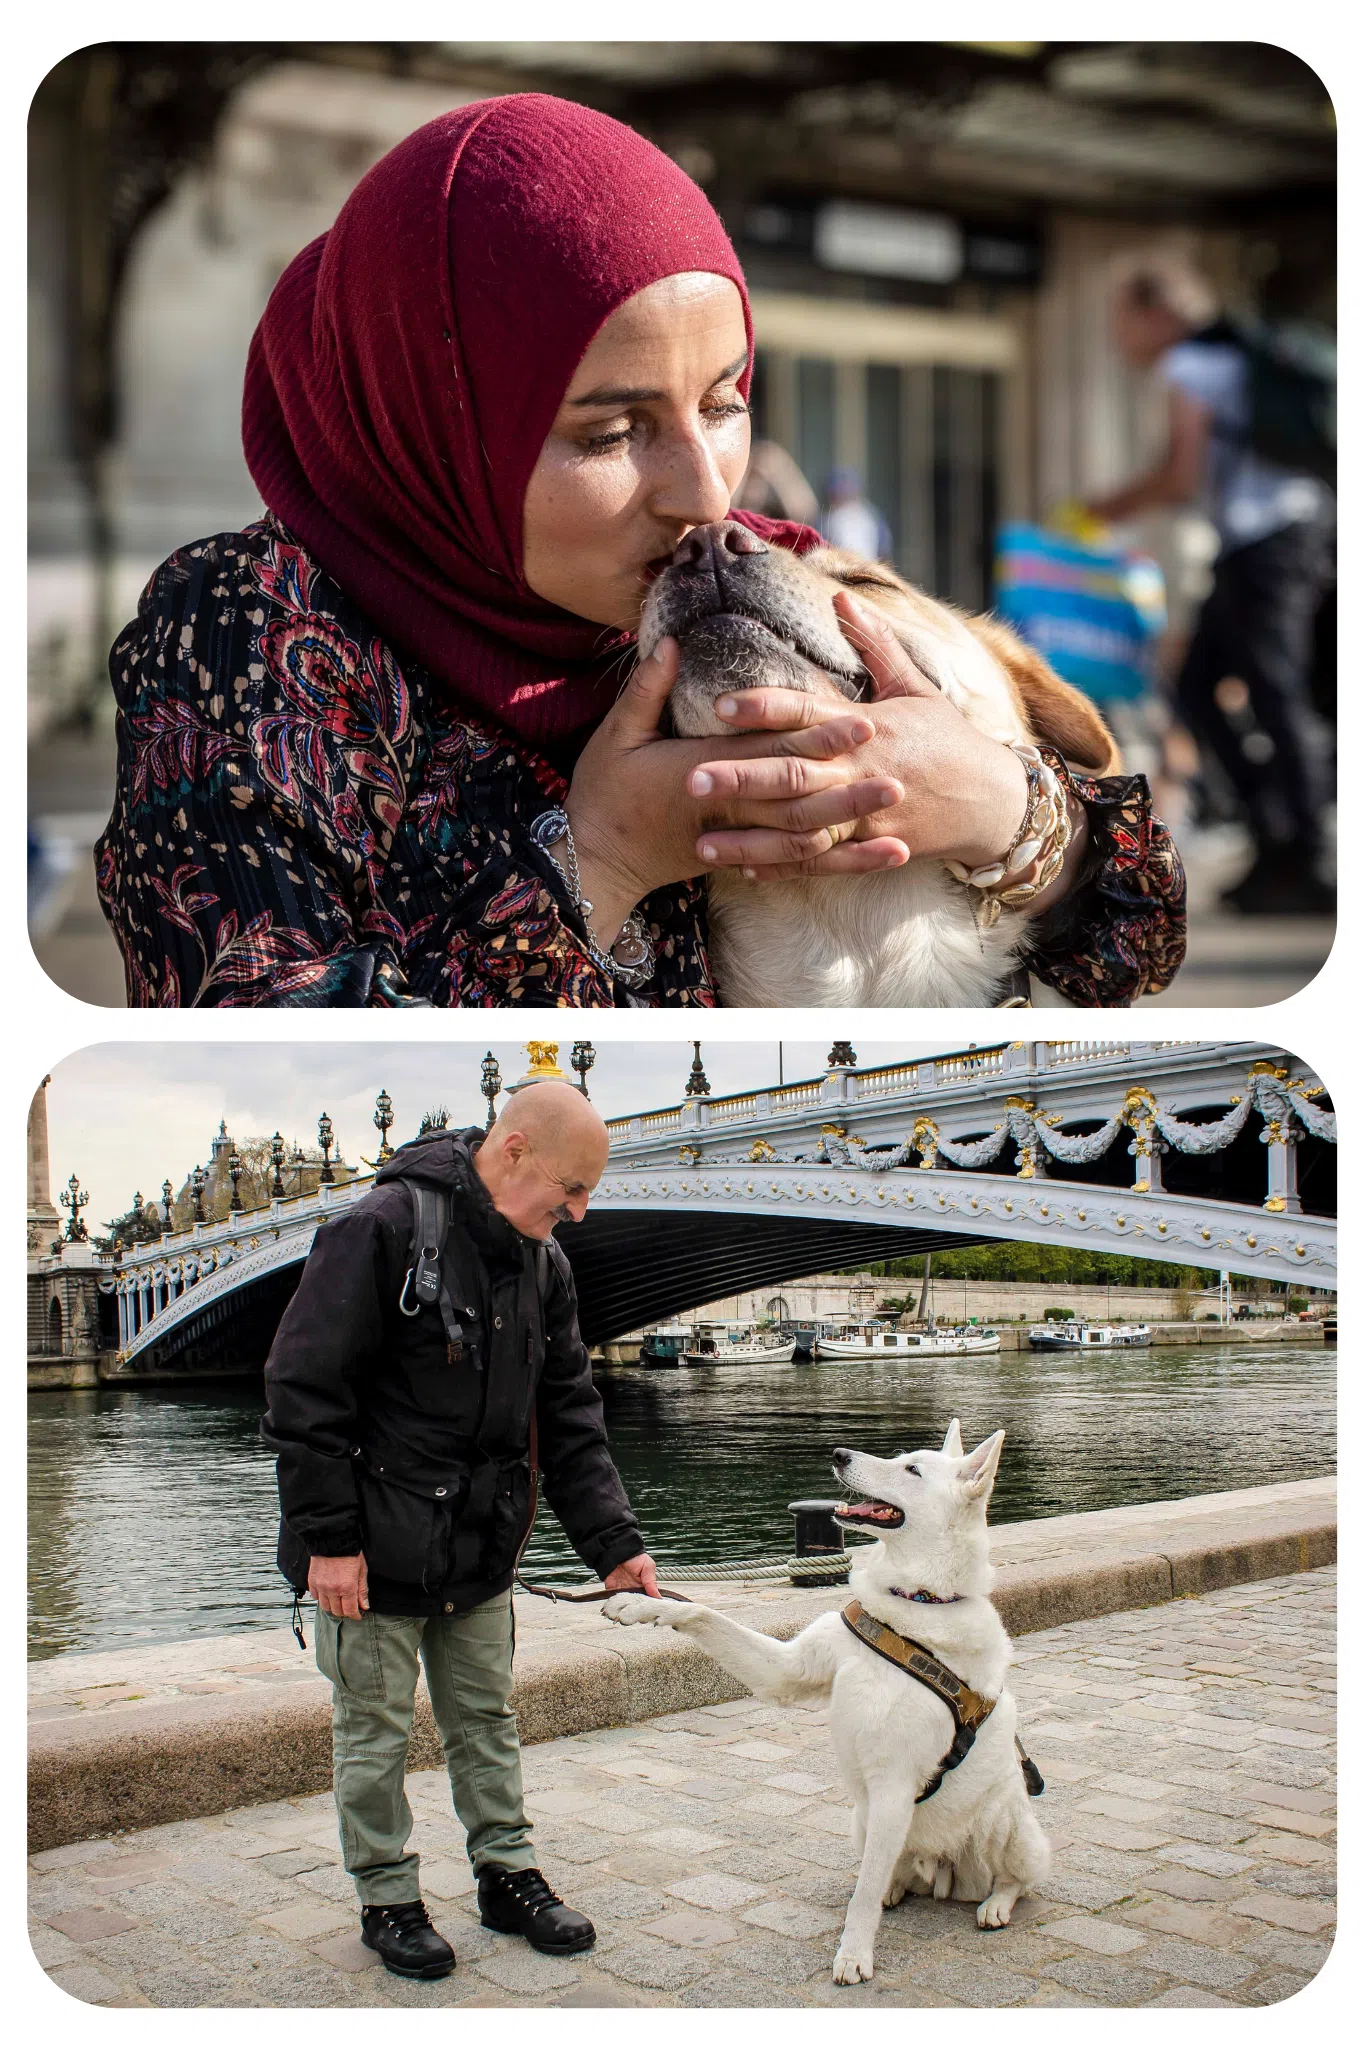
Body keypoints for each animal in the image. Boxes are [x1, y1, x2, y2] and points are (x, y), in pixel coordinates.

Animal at [601, 1425, 1055, 1982]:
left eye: (912, 1470)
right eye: (901, 1458)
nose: (838, 1454)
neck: (913, 1603)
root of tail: (942, 1868)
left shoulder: (894, 1786)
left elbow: (861, 1895)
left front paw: (854, 1954)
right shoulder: (788, 1672)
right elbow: (704, 1615)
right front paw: (638, 1602)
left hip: (999, 1819)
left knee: (1015, 1879)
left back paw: (994, 1905)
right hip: (861, 1820)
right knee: (892, 1873)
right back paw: (898, 1889)